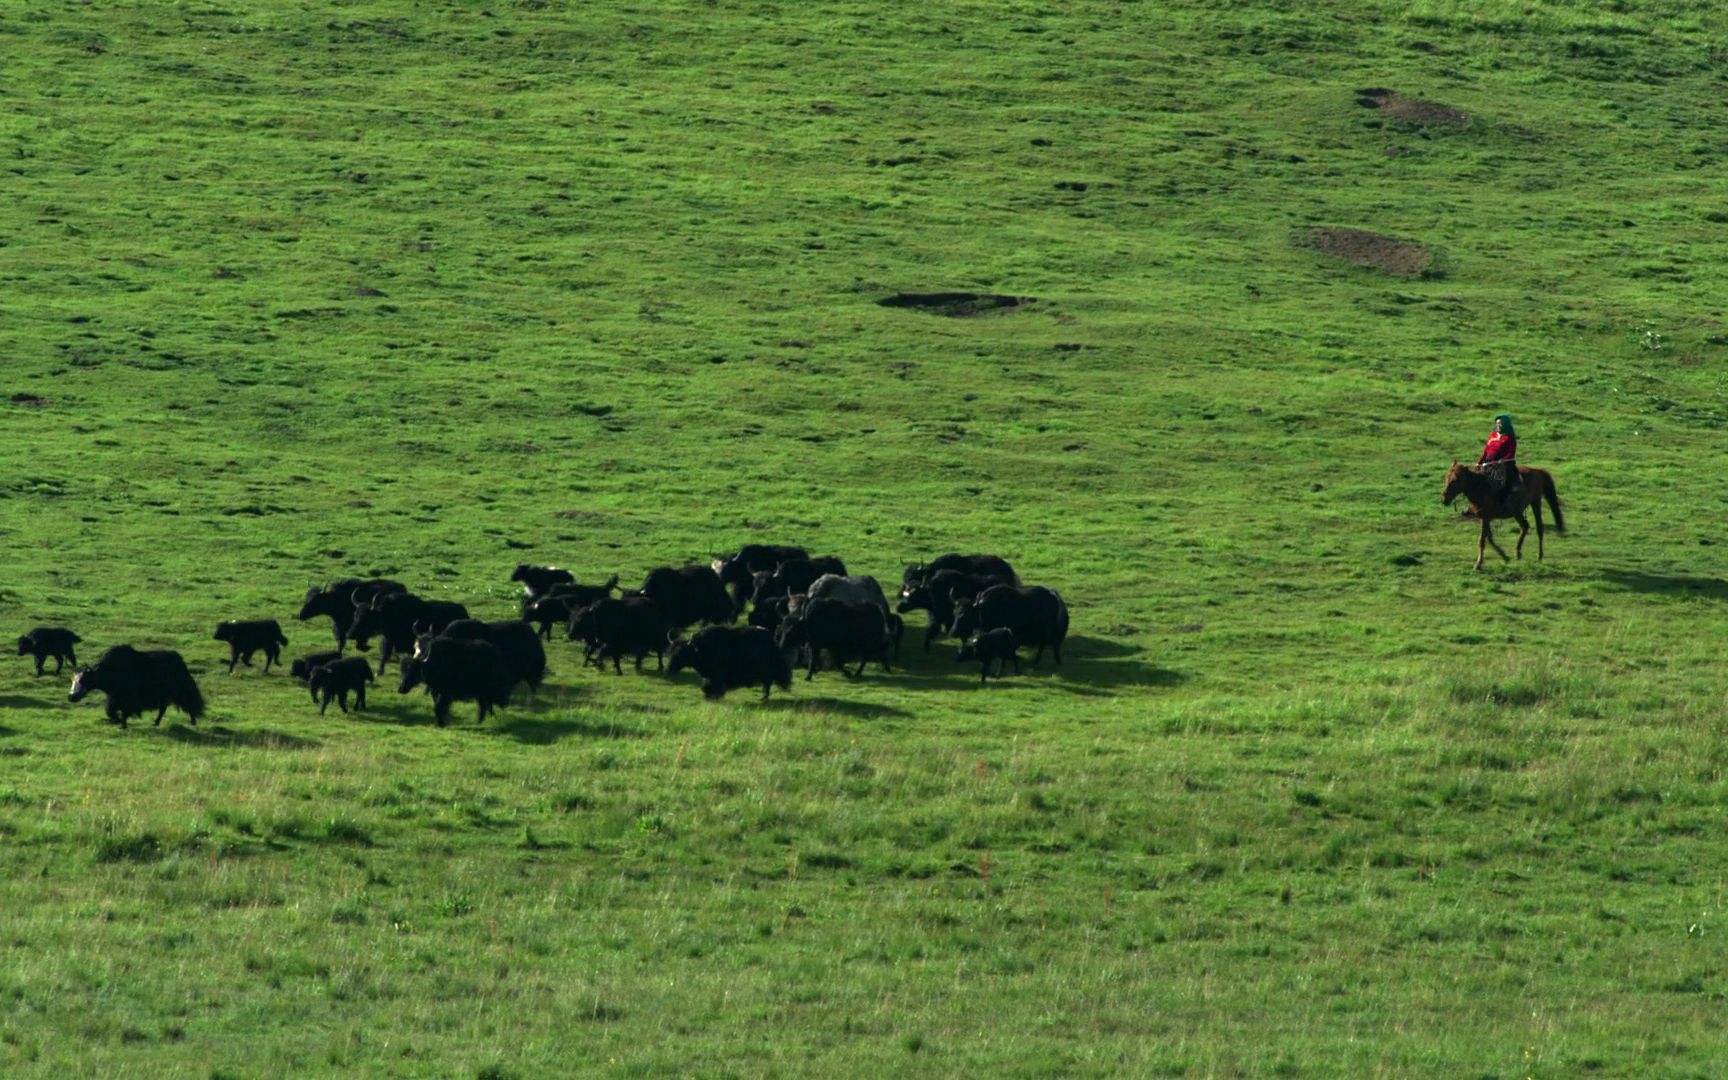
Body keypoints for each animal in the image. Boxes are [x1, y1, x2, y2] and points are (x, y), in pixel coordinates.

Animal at [69, 642, 203, 729]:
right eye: (73, 680)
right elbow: (110, 711)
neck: (109, 672)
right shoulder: (114, 697)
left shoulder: (128, 699)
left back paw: (193, 722)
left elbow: (123, 712)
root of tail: (180, 662)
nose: (71, 697)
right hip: (164, 696)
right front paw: (117, 721)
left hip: (180, 691)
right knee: (163, 709)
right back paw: (156, 723)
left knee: (189, 704)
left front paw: (122, 724)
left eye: (82, 680)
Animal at [663, 622, 791, 698]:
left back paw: (764, 697)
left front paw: (713, 696)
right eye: (670, 652)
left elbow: (713, 685)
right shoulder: (709, 675)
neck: (700, 648)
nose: (668, 669)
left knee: (768, 683)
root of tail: (772, 641)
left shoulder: (716, 675)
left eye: (682, 654)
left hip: (766, 671)